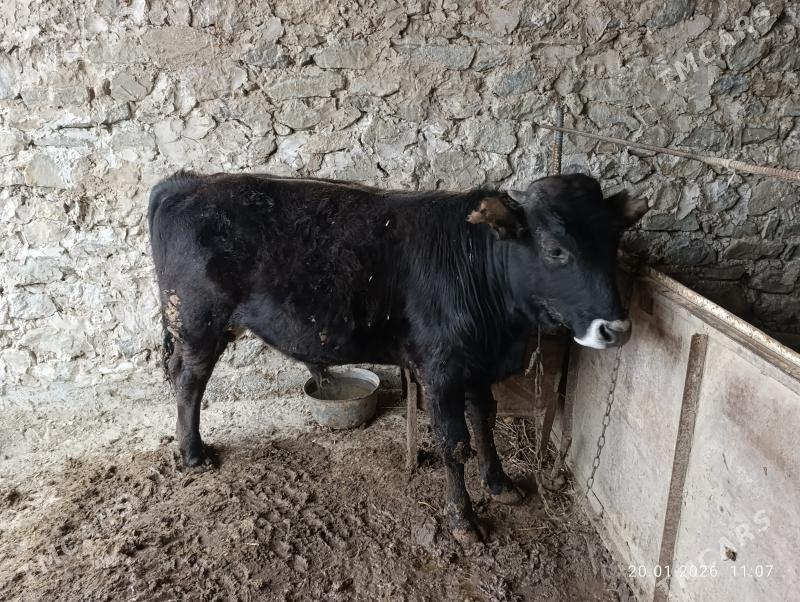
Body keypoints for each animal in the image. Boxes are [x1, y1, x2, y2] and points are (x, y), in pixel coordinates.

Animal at [148, 171, 647, 544]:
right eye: (556, 249)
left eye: (613, 243)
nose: (616, 329)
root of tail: (188, 181)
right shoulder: (440, 369)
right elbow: (454, 443)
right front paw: (464, 520)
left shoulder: (478, 365)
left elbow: (485, 421)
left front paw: (500, 484)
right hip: (196, 321)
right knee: (190, 381)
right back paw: (193, 453)